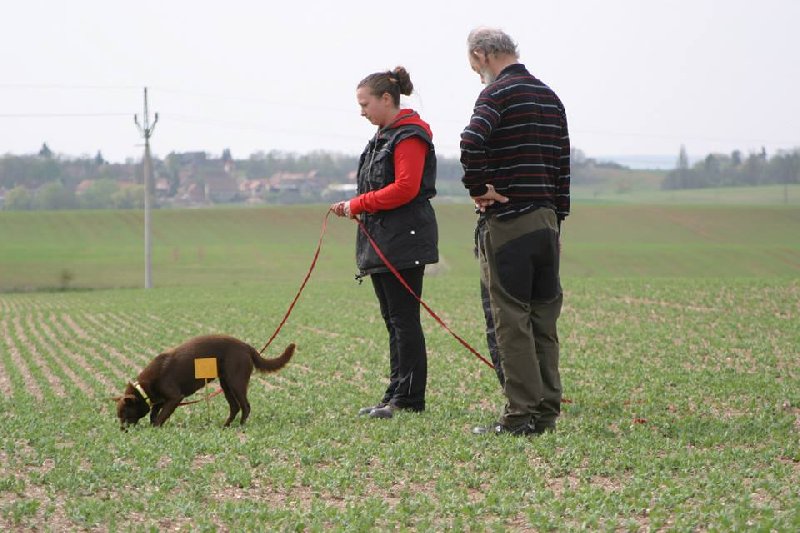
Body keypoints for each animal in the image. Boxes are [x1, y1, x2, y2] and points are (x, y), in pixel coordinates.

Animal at [114, 332, 296, 428]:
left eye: (124, 413)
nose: (122, 430)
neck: (145, 388)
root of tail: (246, 346)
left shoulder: (174, 397)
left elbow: (160, 416)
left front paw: (155, 428)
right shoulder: (161, 399)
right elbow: (154, 412)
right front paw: (152, 425)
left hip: (236, 381)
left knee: (245, 406)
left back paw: (241, 426)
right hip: (226, 384)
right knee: (235, 407)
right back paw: (225, 426)